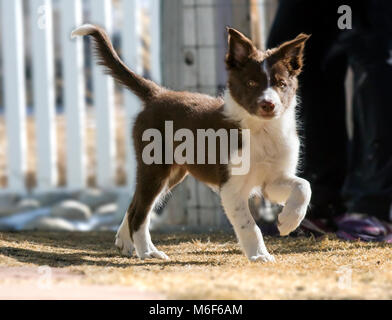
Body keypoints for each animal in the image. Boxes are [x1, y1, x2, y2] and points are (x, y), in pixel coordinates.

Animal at [72, 24, 310, 260]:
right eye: (251, 83)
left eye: (281, 84)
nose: (268, 105)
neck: (262, 130)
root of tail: (158, 94)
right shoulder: (231, 186)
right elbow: (249, 225)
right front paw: (259, 255)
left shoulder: (272, 179)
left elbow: (303, 186)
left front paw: (288, 221)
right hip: (155, 168)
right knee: (140, 211)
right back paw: (148, 251)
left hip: (172, 173)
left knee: (135, 204)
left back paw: (125, 241)